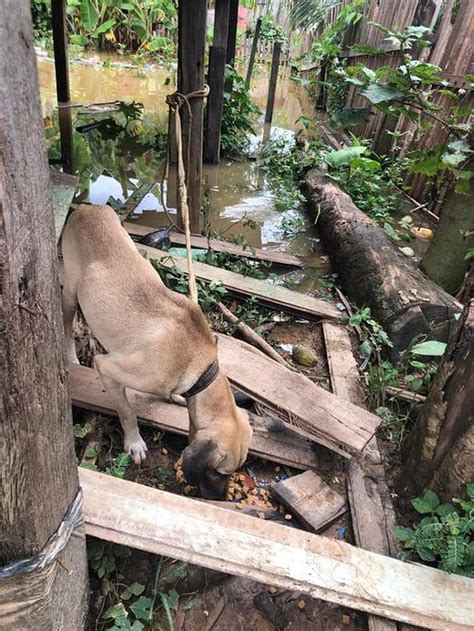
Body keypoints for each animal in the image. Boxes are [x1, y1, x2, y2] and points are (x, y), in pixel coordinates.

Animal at [62, 206, 252, 498]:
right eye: (221, 472)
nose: (221, 498)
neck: (199, 366)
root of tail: (86, 207)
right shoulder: (108, 367)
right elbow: (126, 411)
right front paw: (134, 442)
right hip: (71, 293)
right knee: (67, 323)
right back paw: (71, 356)